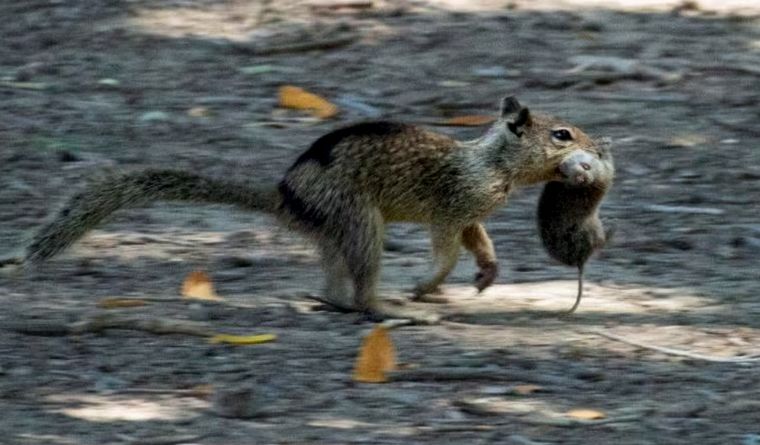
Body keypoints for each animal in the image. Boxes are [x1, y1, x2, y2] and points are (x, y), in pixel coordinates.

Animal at [537, 138, 614, 314]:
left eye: (586, 166)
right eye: (565, 174)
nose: (582, 178)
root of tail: (580, 261)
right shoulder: (605, 173)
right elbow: (609, 164)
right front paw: (604, 144)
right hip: (593, 229)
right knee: (601, 242)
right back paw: (612, 227)